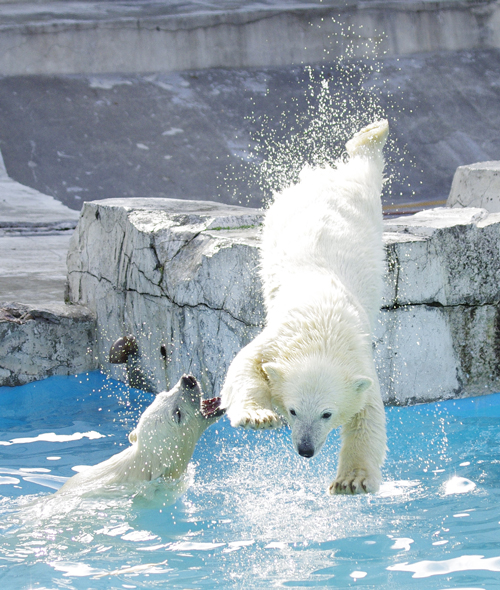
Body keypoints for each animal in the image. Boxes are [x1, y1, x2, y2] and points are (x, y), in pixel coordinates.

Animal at [223, 122, 390, 498]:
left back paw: (372, 134)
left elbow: (368, 416)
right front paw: (257, 417)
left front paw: (352, 480)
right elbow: (243, 367)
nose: (305, 450)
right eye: (293, 410)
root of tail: (330, 179)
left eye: (327, 414)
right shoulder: (277, 338)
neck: (322, 323)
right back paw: (372, 133)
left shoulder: (360, 362)